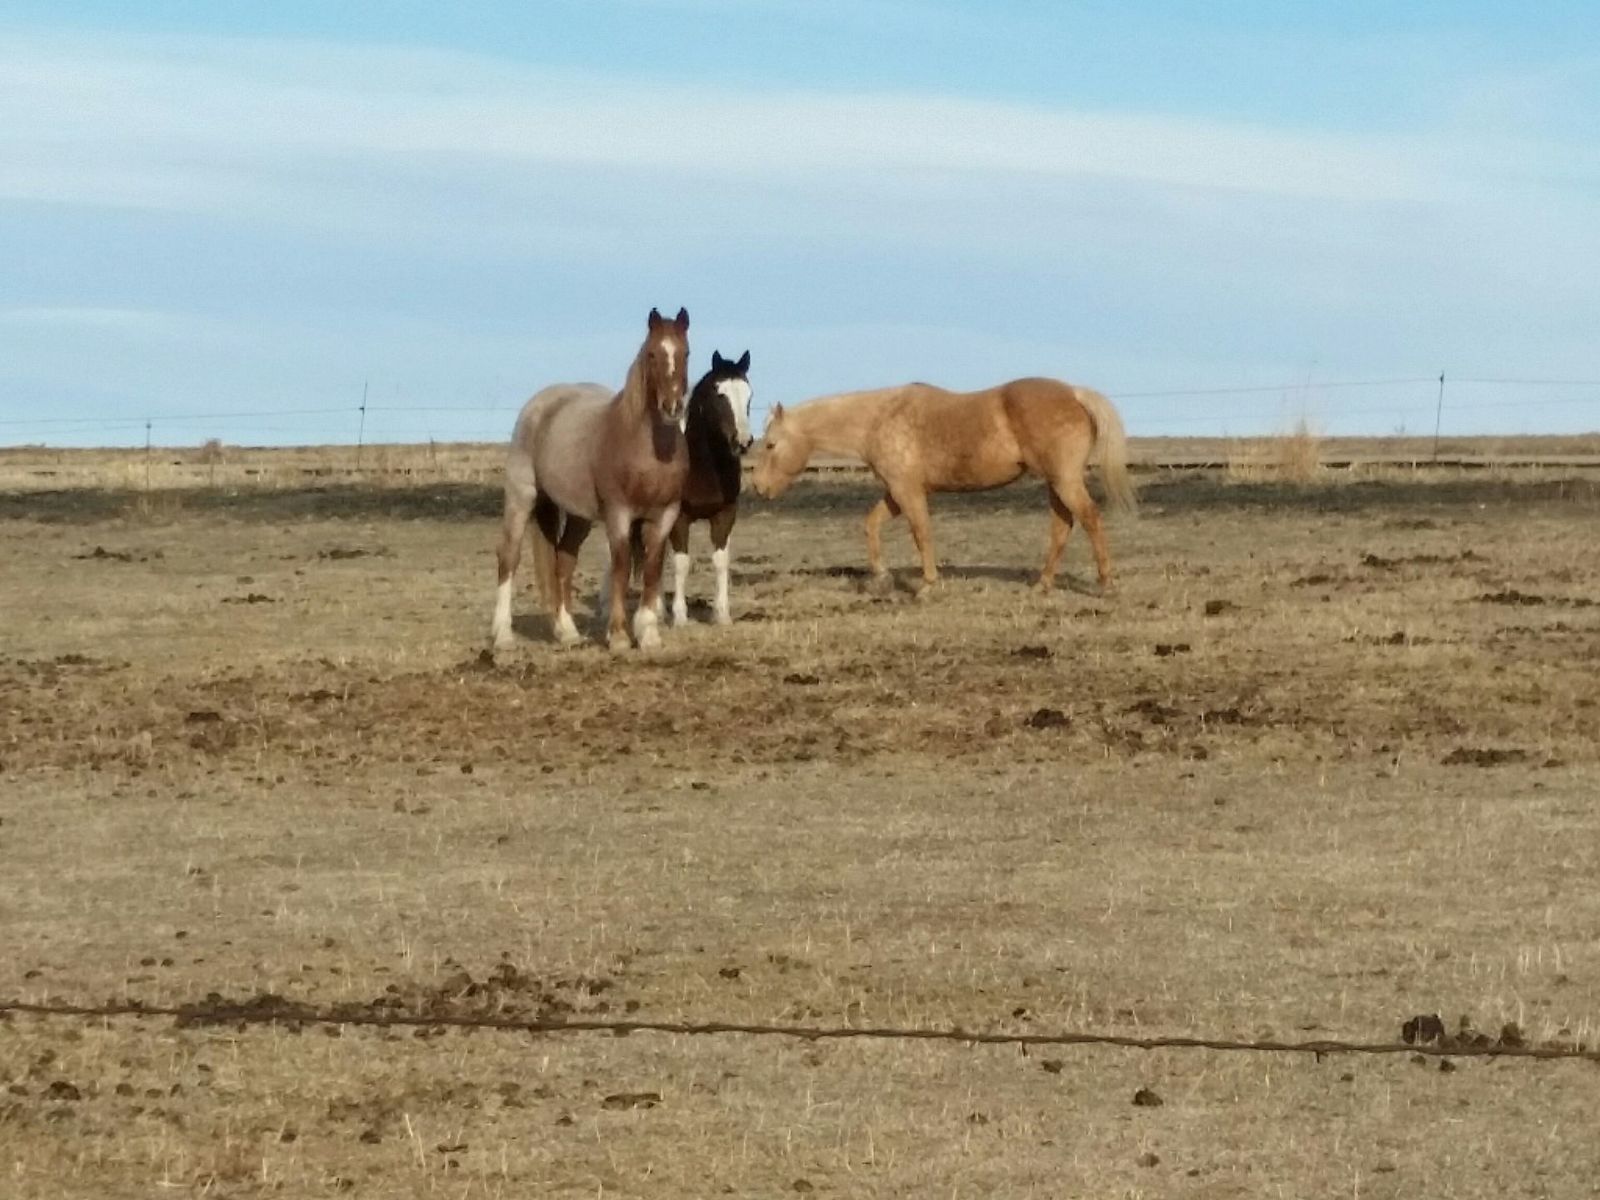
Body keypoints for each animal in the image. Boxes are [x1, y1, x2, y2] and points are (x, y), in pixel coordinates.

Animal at [490, 307, 690, 653]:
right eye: (652, 354)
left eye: (686, 353)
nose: (672, 407)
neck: (649, 449)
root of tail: (539, 405)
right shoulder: (619, 514)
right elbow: (621, 567)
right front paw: (619, 635)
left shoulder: (664, 515)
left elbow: (652, 568)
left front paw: (648, 633)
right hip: (521, 498)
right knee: (509, 558)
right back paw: (502, 634)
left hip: (577, 516)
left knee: (563, 561)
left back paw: (566, 631)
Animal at [749, 377, 1136, 593]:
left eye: (770, 445)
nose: (759, 488)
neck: (878, 419)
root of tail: (1075, 393)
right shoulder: (896, 493)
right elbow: (871, 525)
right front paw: (882, 578)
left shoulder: (907, 492)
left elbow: (922, 533)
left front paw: (927, 584)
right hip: (1056, 483)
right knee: (1062, 526)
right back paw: (1043, 584)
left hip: (1065, 480)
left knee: (1089, 518)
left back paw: (1106, 583)